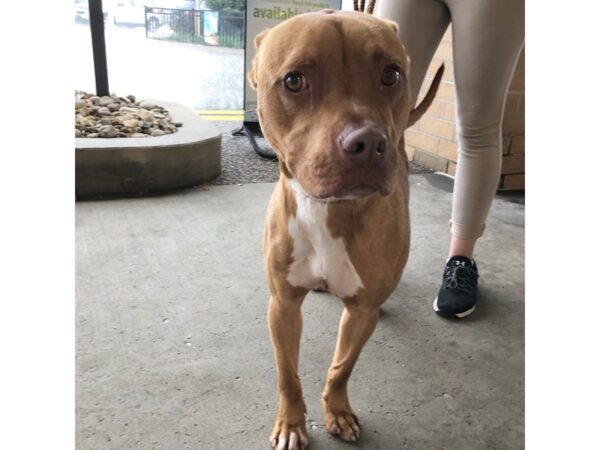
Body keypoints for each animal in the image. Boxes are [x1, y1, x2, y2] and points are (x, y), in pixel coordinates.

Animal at [247, 8, 440, 448]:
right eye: (294, 80)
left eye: (391, 74)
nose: (368, 143)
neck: (328, 212)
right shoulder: (282, 306)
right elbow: (288, 375)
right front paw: (291, 423)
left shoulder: (361, 312)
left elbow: (342, 367)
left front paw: (337, 410)